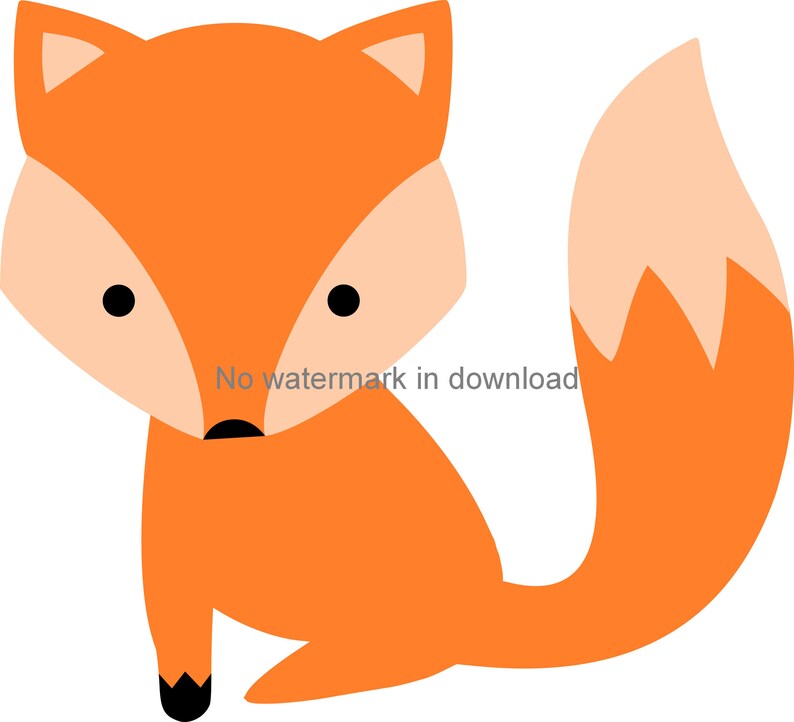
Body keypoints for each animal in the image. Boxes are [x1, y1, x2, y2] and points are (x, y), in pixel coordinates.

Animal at [1, 1, 792, 720]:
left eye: (345, 300)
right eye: (116, 300)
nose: (232, 431)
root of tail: (490, 598)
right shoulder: (167, 558)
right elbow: (178, 643)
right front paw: (186, 697)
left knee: (414, 655)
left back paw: (301, 677)